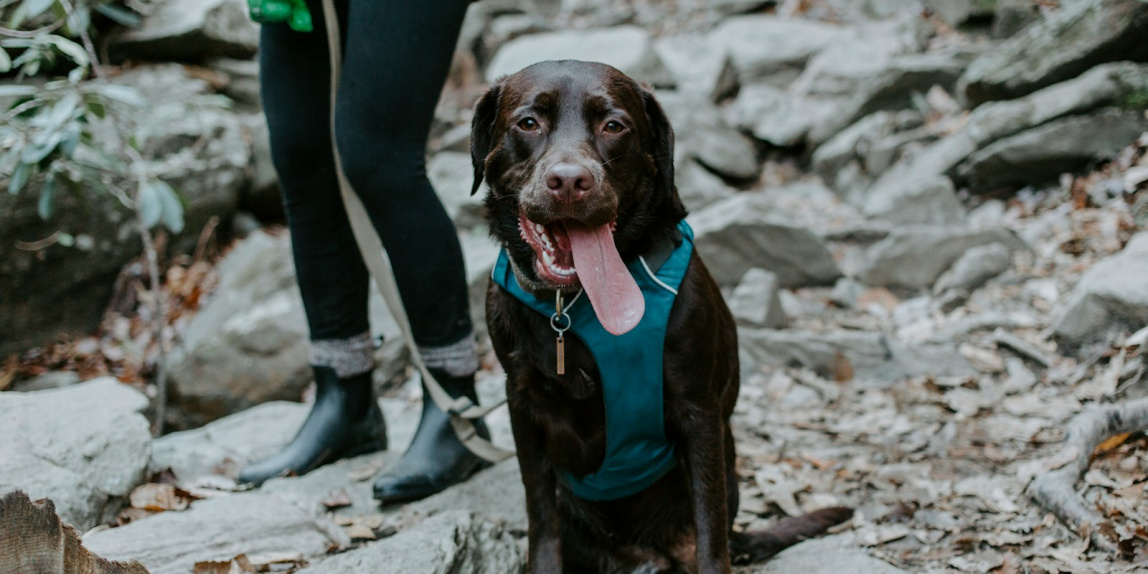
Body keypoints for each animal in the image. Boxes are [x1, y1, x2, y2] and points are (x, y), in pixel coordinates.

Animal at [468, 60, 854, 571]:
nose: (570, 181)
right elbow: (541, 514)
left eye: (614, 126)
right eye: (528, 122)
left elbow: (710, 527)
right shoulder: (523, 405)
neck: (577, 305)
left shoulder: (699, 411)